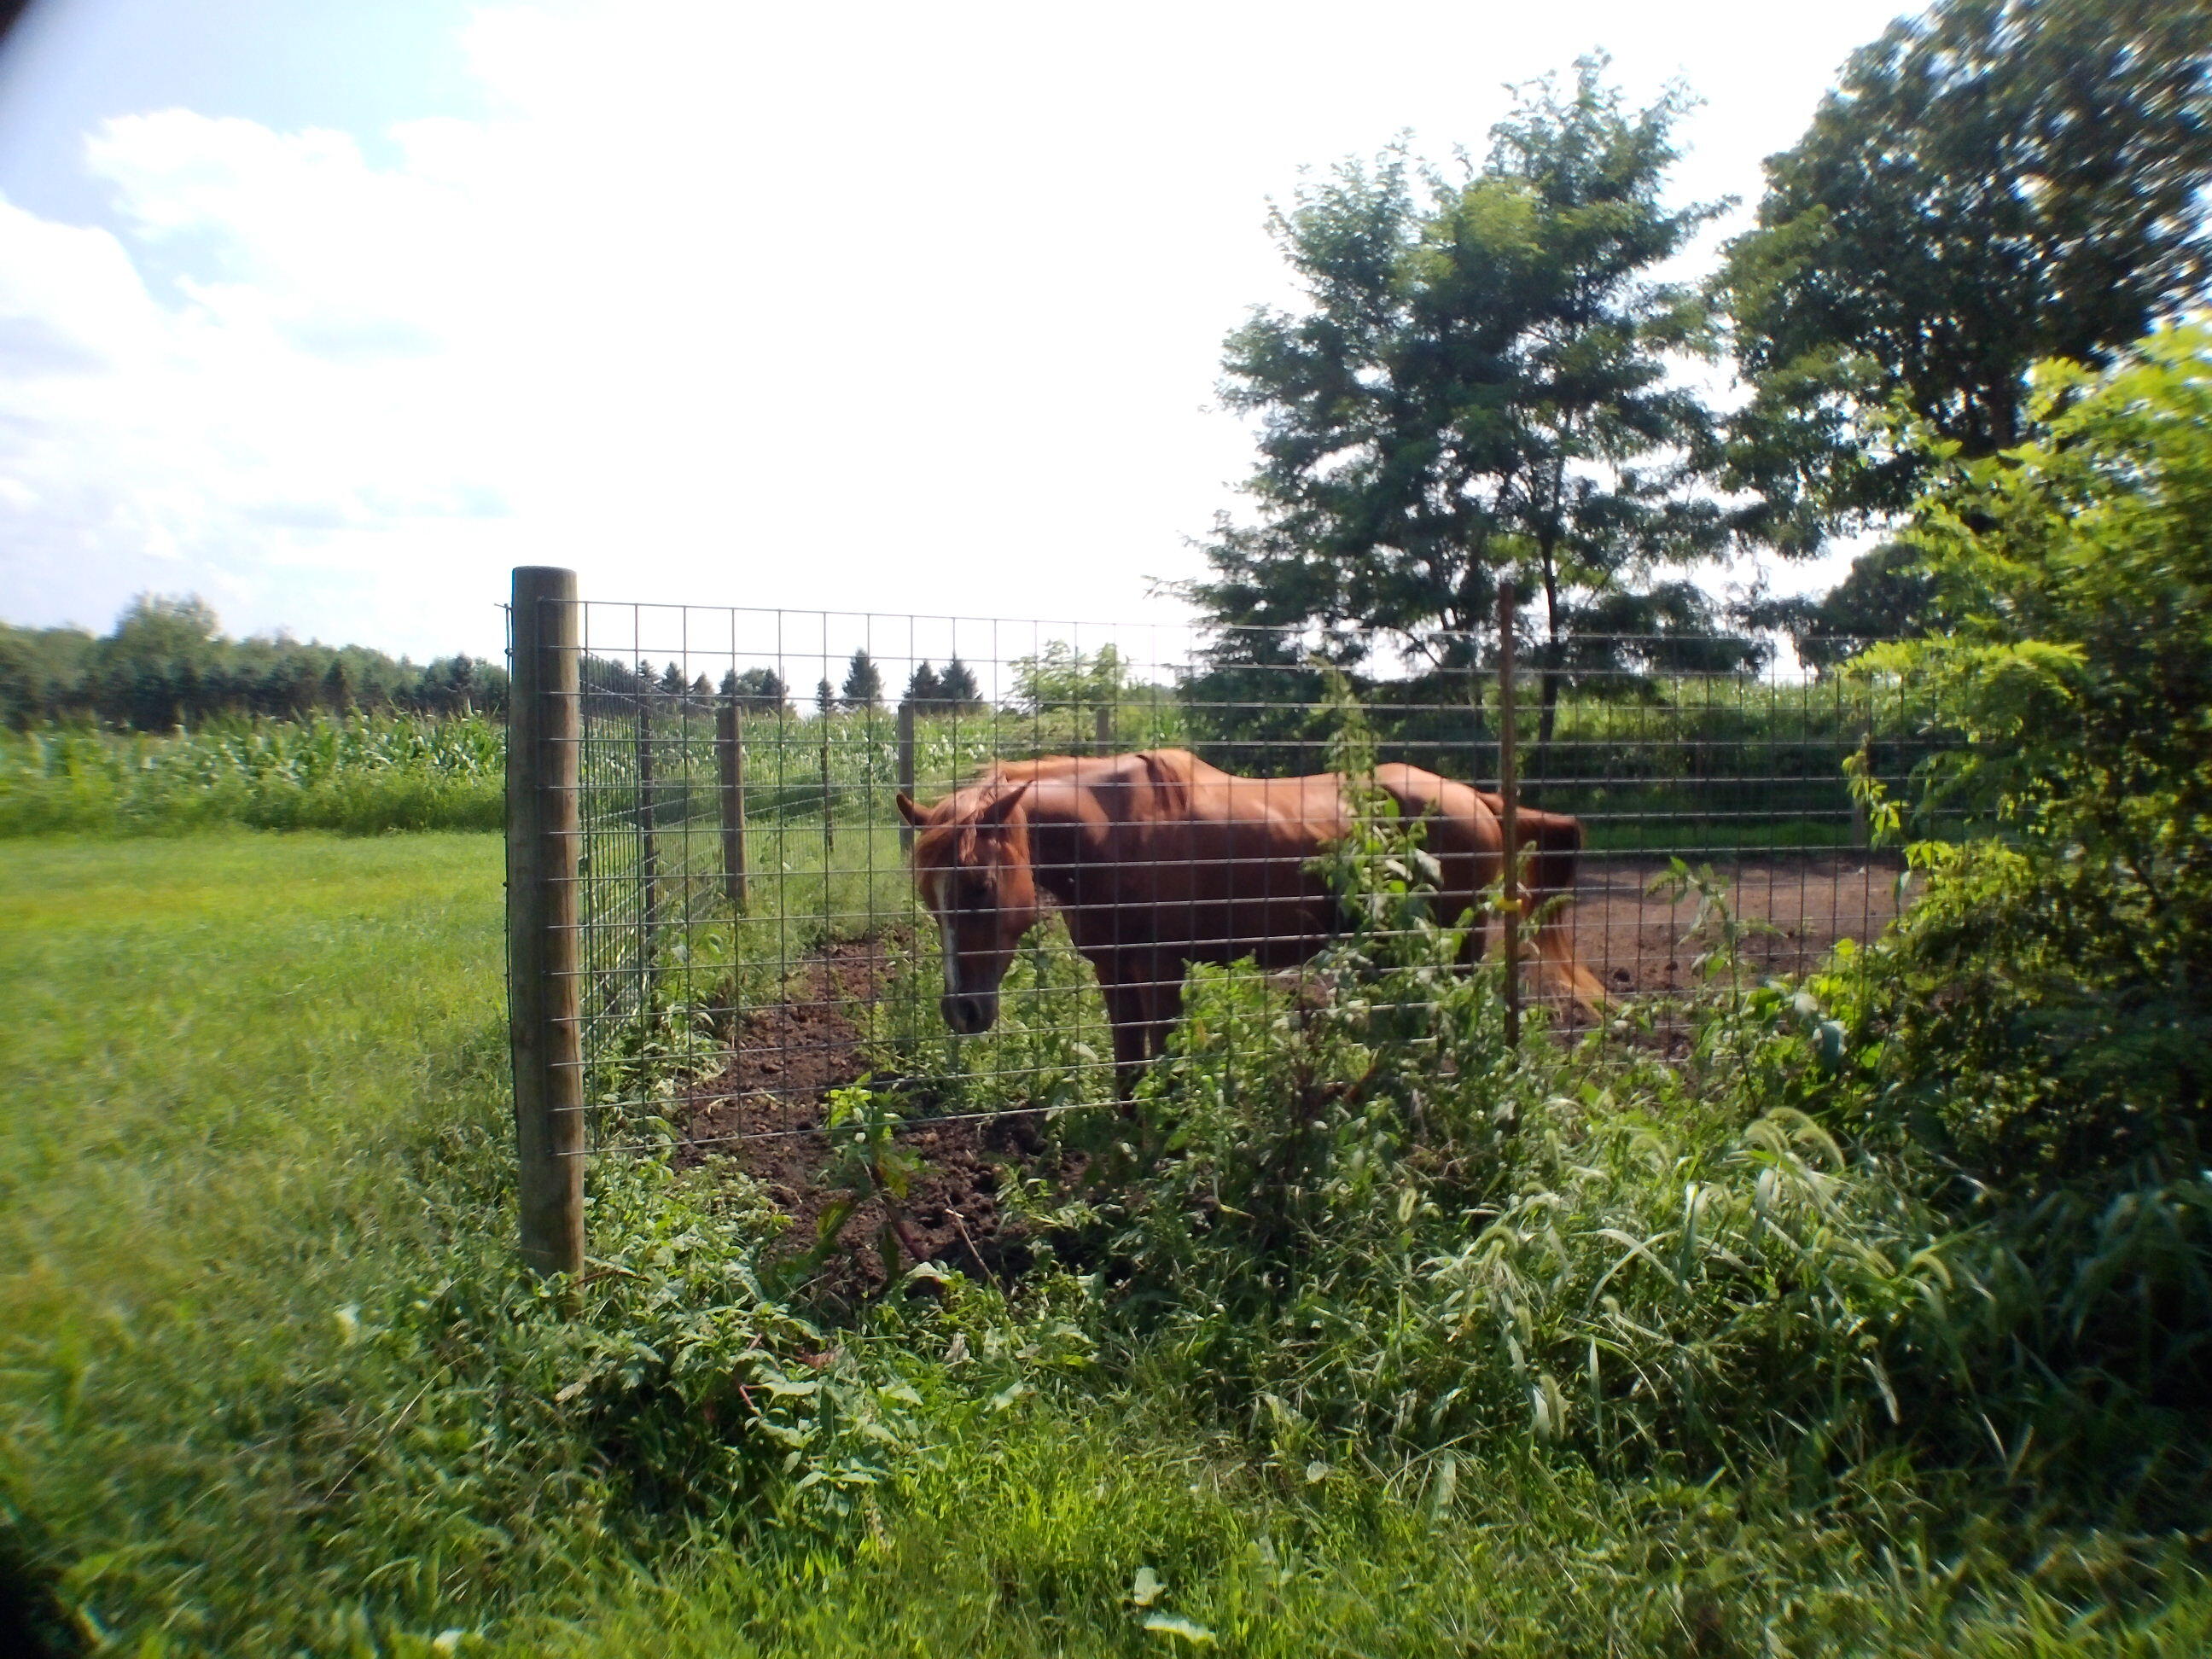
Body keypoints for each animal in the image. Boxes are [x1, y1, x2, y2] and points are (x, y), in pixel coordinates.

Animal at [893, 747, 1605, 1096]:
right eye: (928, 897)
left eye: (979, 887)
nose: (961, 1012)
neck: (1110, 831)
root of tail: (1479, 800)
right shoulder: (1113, 975)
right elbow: (1128, 1070)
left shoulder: (1161, 973)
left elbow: (1162, 1064)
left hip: (1445, 953)